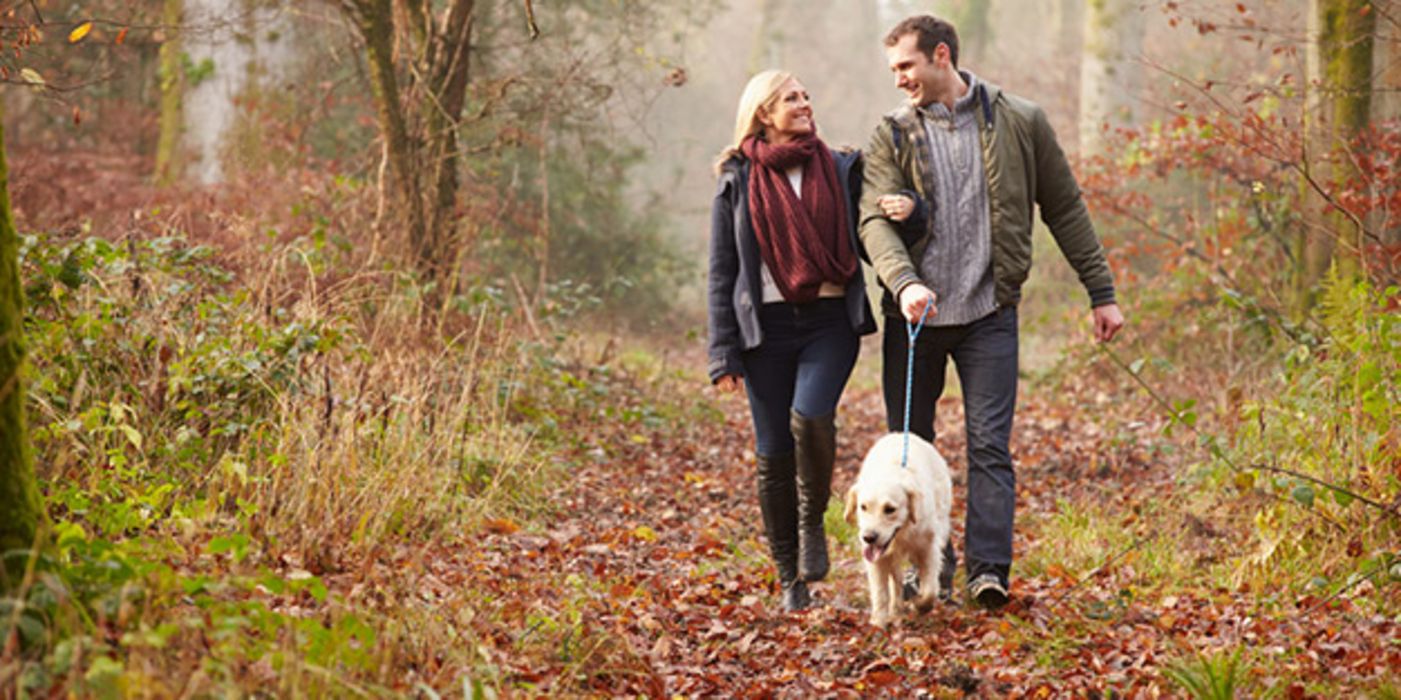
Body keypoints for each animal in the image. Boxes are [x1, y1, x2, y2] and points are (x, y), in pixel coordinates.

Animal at [840, 434, 952, 627]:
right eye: (863, 507)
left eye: (890, 509)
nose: (869, 537)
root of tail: (903, 434)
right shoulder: (876, 558)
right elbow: (880, 591)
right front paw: (879, 622)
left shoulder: (929, 548)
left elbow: (930, 590)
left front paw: (920, 604)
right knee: (897, 579)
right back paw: (896, 609)